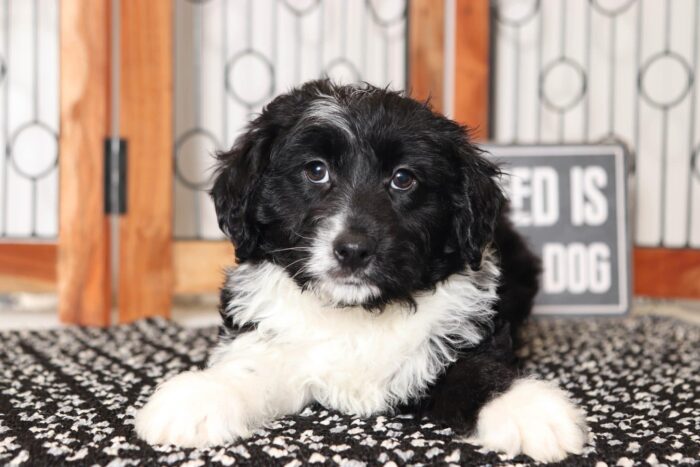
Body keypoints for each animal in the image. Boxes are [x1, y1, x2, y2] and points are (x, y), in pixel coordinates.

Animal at [134, 80, 588, 464]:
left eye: (403, 179)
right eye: (316, 171)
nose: (353, 250)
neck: (359, 313)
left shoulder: (464, 328)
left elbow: (476, 371)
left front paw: (525, 406)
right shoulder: (275, 334)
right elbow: (250, 366)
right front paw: (201, 395)